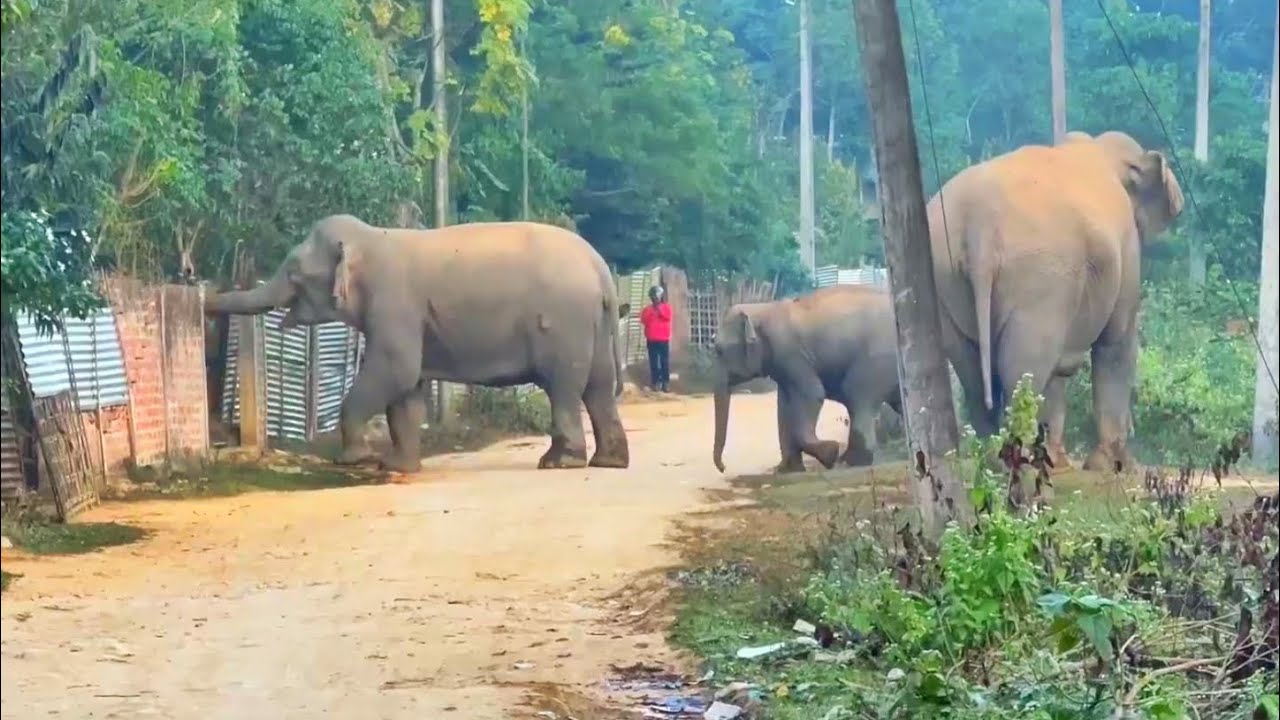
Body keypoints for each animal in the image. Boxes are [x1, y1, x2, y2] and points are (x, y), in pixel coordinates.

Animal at [204, 214, 630, 472]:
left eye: (293, 272)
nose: (205, 298)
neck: (370, 237)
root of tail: (601, 269)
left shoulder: (394, 303)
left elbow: (395, 369)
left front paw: (356, 460)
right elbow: (407, 388)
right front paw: (399, 467)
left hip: (565, 324)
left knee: (563, 388)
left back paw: (558, 462)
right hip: (592, 326)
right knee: (598, 389)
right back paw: (607, 463)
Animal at [712, 284, 903, 474]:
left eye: (719, 350)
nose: (723, 468)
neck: (763, 308)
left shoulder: (791, 354)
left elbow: (812, 395)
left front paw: (830, 453)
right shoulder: (782, 365)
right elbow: (784, 405)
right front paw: (786, 470)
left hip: (878, 359)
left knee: (856, 394)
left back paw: (851, 462)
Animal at [925, 129, 1185, 472]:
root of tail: (979, 226)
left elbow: (1060, 370)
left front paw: (1062, 462)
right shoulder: (1126, 251)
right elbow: (1117, 343)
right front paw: (1112, 466)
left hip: (944, 280)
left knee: (974, 373)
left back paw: (995, 461)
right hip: (1039, 281)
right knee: (1026, 367)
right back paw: (1024, 461)